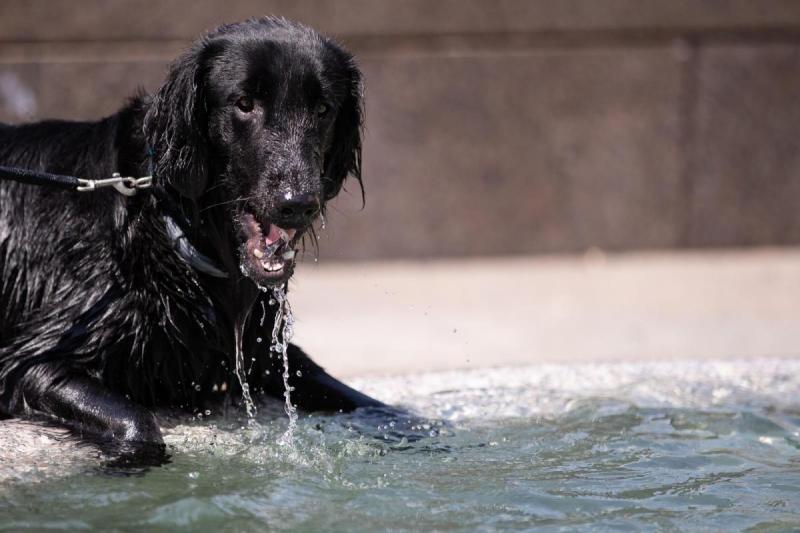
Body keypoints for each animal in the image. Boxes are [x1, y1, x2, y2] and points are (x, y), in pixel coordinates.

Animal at [0, 18, 384, 460]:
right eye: (244, 103)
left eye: (323, 109)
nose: (298, 203)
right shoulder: (34, 358)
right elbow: (138, 425)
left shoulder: (264, 352)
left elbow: (376, 405)